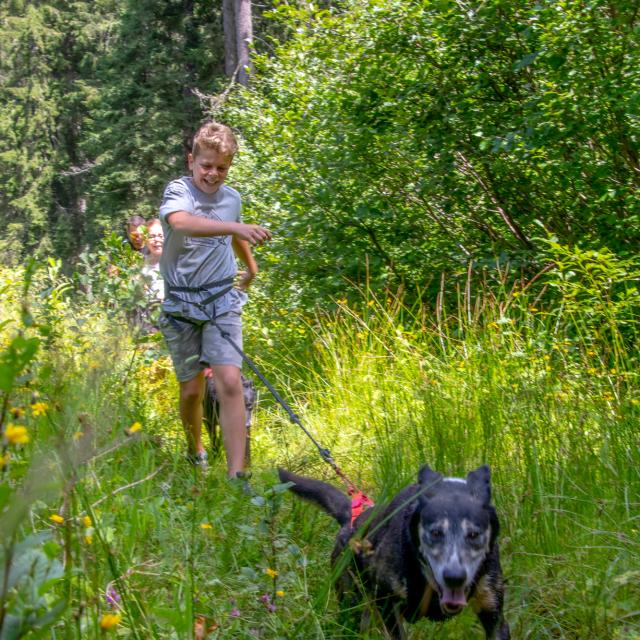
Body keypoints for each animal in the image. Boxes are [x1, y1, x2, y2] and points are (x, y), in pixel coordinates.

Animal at [280, 464, 510, 640]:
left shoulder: (493, 612)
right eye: (435, 532)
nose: (454, 577)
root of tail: (351, 518)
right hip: (351, 603)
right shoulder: (388, 605)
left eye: (473, 534)